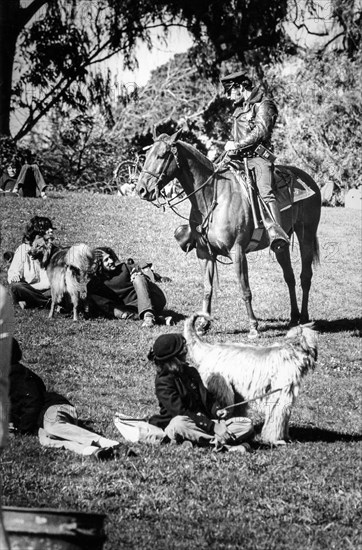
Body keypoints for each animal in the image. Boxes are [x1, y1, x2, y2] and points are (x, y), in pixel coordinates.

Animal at [136, 132, 320, 338]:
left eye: (162, 156)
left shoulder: (237, 252)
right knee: (289, 277)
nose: (141, 189)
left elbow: (245, 289)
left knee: (305, 276)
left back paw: (304, 318)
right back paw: (294, 318)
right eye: (147, 155)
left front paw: (253, 327)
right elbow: (208, 289)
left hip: (307, 235)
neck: (213, 197)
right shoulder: (204, 253)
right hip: (282, 245)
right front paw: (203, 324)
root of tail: (309, 180)